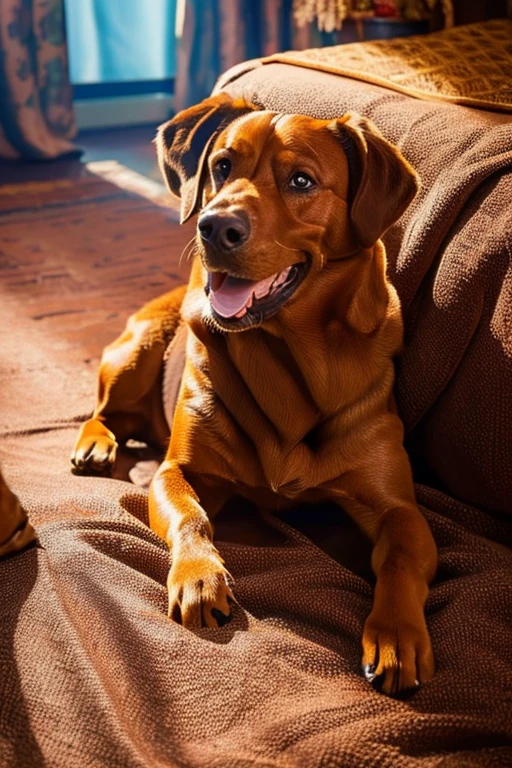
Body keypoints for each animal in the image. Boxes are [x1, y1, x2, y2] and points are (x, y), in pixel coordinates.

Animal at [71, 93, 436, 692]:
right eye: (221, 166)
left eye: (301, 180)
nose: (214, 227)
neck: (289, 355)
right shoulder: (179, 471)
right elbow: (192, 517)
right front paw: (200, 577)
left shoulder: (398, 508)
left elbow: (401, 559)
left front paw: (395, 634)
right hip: (138, 348)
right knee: (104, 411)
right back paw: (96, 444)